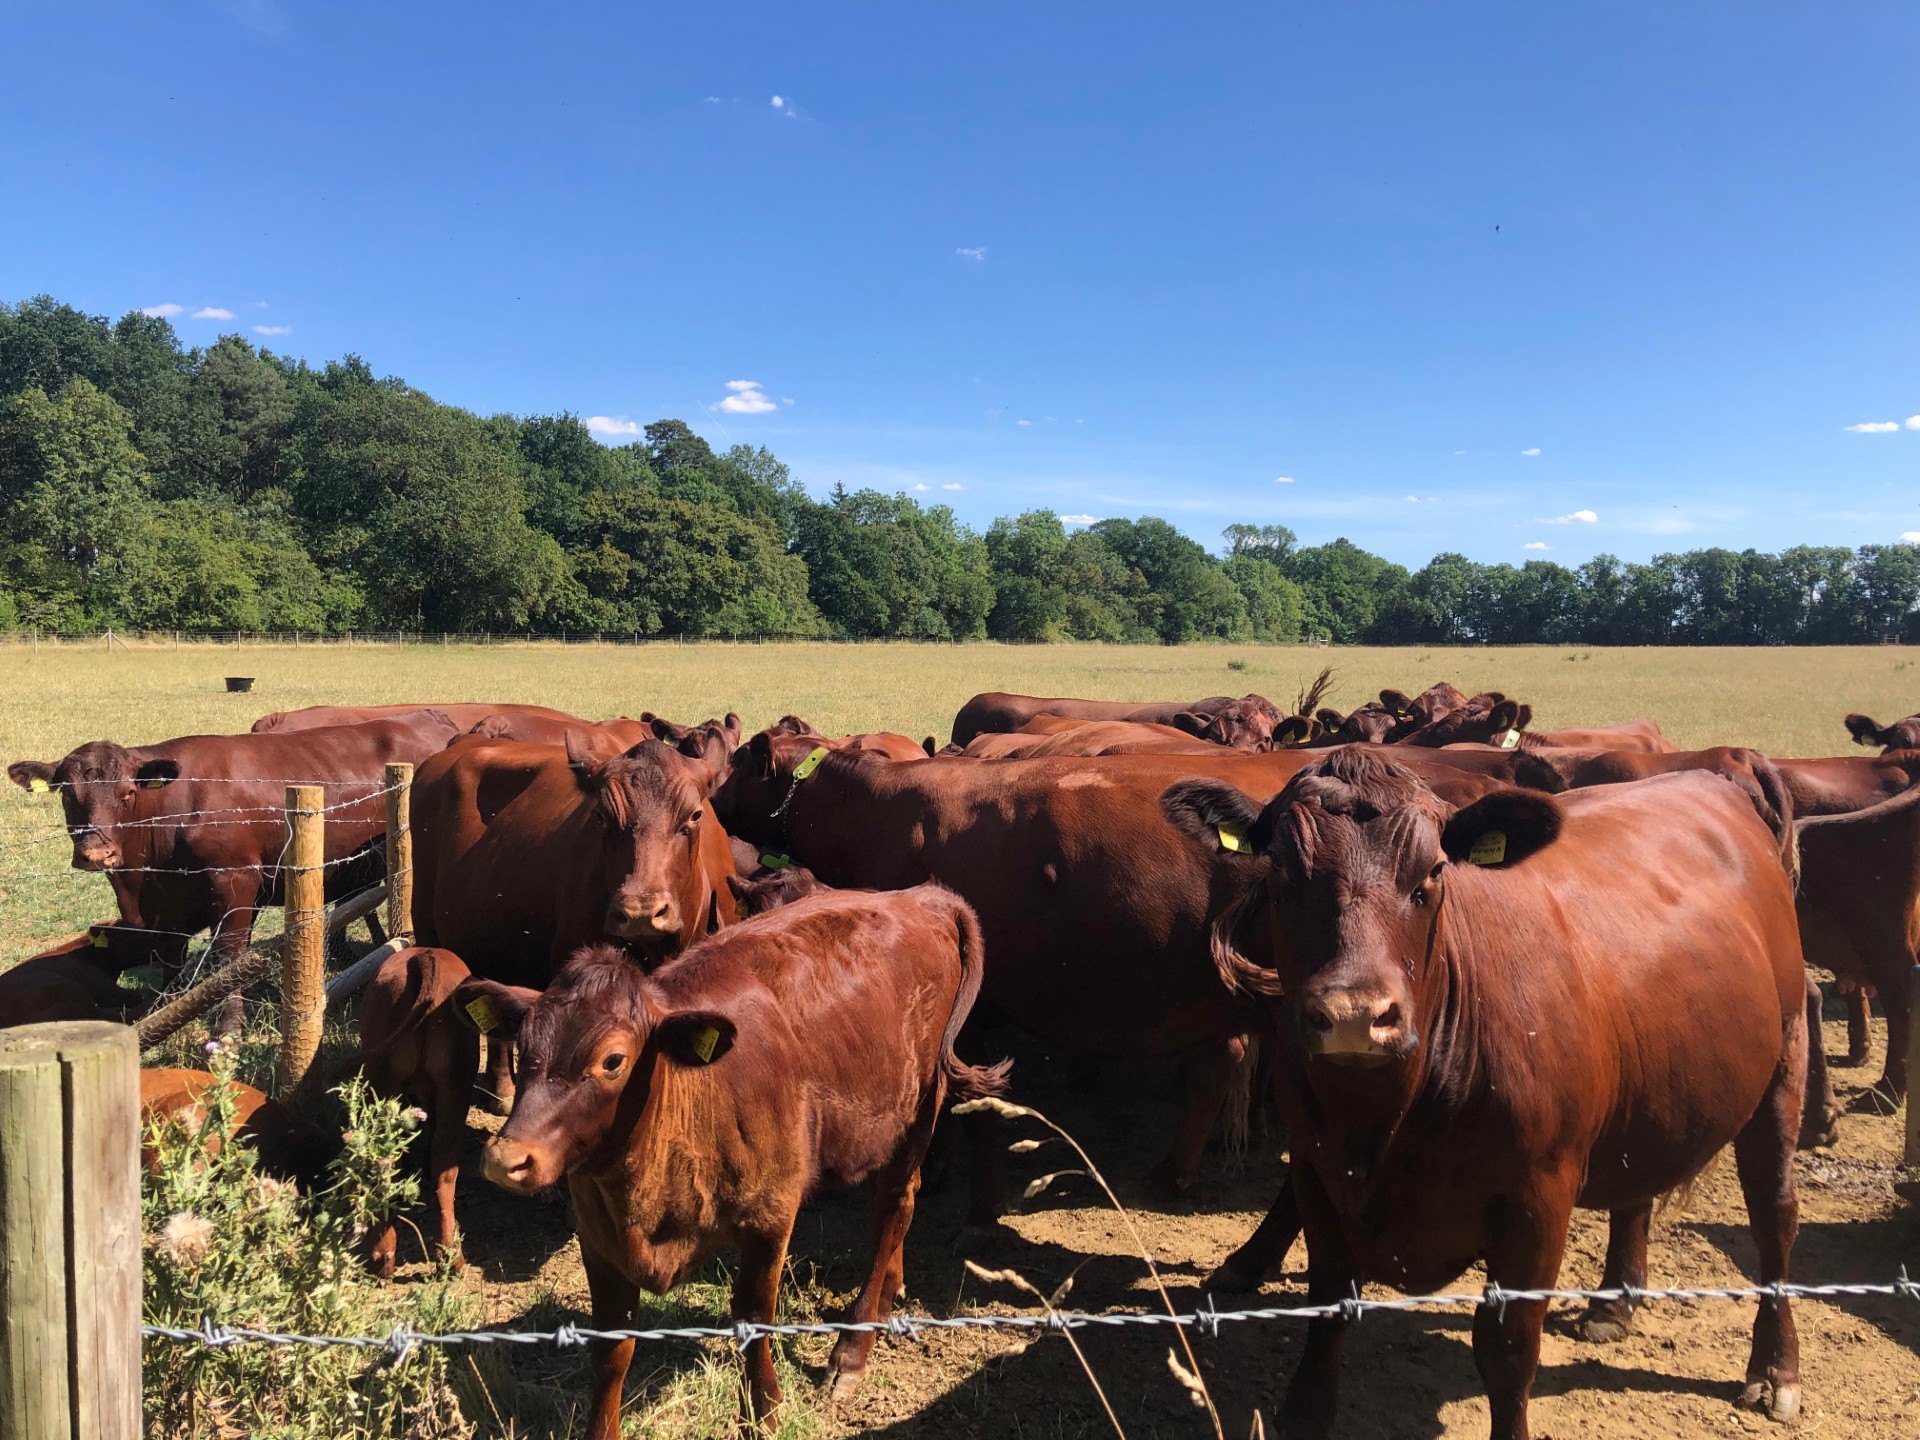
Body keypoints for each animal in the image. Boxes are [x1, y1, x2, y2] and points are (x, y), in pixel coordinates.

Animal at [8, 711, 460, 978]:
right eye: (66, 793)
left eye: (127, 794)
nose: (96, 853)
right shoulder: (165, 916)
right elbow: (168, 976)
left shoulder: (237, 885)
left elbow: (228, 959)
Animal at [471, 886, 1009, 1432]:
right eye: (523, 1048)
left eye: (613, 1061)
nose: (506, 1158)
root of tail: (919, 896)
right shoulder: (598, 1238)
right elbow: (611, 1351)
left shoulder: (771, 1216)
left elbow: (753, 1317)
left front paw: (764, 1409)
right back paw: (887, 1295)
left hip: (917, 1112)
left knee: (892, 1211)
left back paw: (852, 1348)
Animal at [1159, 754, 1809, 1438]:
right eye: (1283, 869)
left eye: (1433, 871)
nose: (1356, 1016)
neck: (1380, 1122)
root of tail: (1709, 779)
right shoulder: (1317, 1171)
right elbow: (1329, 1303)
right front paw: (1305, 1413)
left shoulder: (1538, 1200)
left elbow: (1507, 1349)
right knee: (1638, 1190)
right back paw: (1613, 1304)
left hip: (1785, 1058)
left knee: (1774, 1213)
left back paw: (1775, 1369)